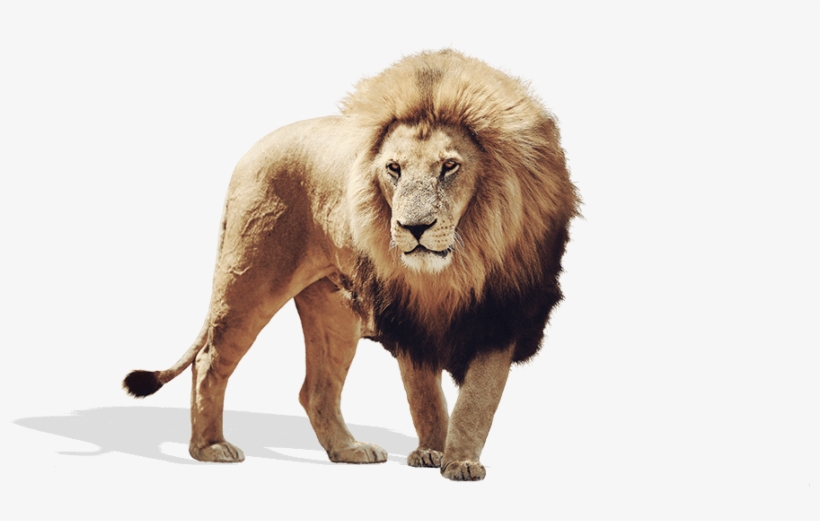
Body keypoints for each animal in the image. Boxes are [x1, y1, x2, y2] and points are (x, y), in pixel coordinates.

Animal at [123, 49, 579, 481]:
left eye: (449, 166)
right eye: (394, 169)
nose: (414, 228)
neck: (451, 268)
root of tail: (252, 150)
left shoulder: (503, 312)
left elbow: (477, 400)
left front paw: (460, 460)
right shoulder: (407, 316)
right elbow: (424, 395)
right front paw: (432, 452)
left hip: (333, 312)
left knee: (315, 390)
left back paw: (347, 450)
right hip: (248, 280)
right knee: (209, 361)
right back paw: (211, 447)